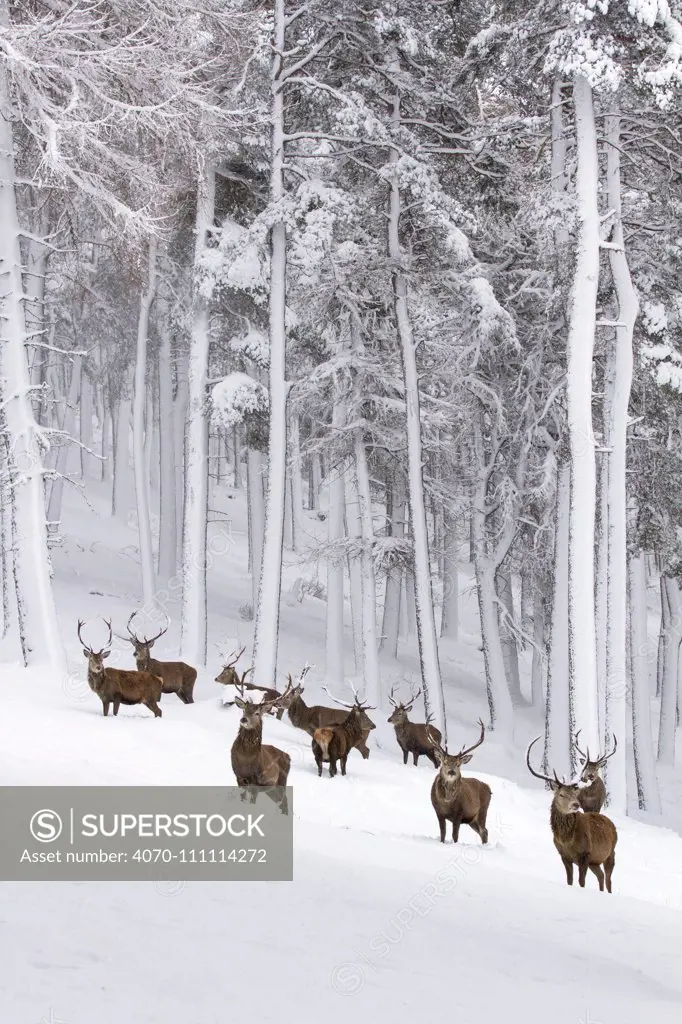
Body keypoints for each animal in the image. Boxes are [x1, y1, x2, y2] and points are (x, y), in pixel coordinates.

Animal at [524, 733, 614, 892]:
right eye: (561, 794)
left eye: (574, 792)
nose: (576, 804)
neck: (567, 840)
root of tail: (612, 824)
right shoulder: (564, 856)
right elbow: (569, 881)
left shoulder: (585, 855)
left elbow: (581, 882)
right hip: (595, 861)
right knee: (601, 875)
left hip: (610, 853)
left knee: (609, 879)